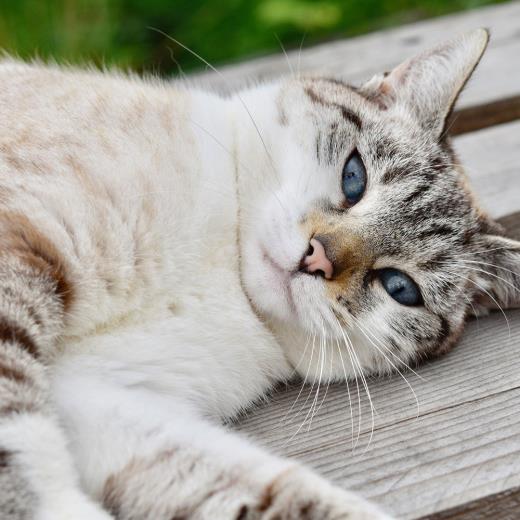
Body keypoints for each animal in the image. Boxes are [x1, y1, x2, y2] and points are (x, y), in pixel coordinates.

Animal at [1, 27, 520, 520]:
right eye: (354, 177)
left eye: (400, 288)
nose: (317, 259)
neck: (225, 281)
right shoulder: (24, 243)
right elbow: (17, 444)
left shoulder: (106, 402)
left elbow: (271, 491)